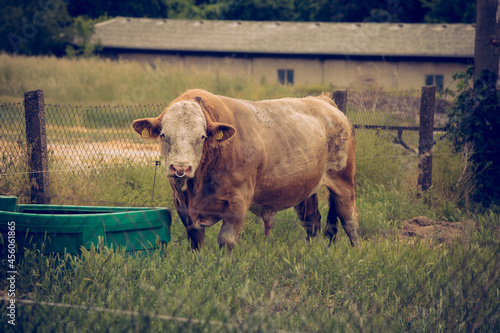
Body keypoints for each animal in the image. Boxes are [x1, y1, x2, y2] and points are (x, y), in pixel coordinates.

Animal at [133, 88, 360, 252]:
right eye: (163, 135)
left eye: (202, 137)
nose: (180, 168)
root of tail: (323, 101)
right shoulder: (182, 204)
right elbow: (195, 241)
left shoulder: (238, 201)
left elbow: (226, 240)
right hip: (306, 185)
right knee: (312, 221)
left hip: (343, 180)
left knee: (349, 218)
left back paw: (356, 251)